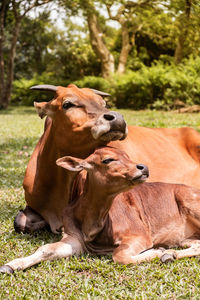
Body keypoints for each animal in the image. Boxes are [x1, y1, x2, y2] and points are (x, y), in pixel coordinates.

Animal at [1, 146, 200, 274]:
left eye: (128, 156)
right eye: (107, 160)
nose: (143, 167)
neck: (93, 226)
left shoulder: (140, 234)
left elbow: (120, 256)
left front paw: (157, 251)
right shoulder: (74, 238)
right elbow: (46, 249)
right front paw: (11, 265)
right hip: (185, 237)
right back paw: (171, 254)